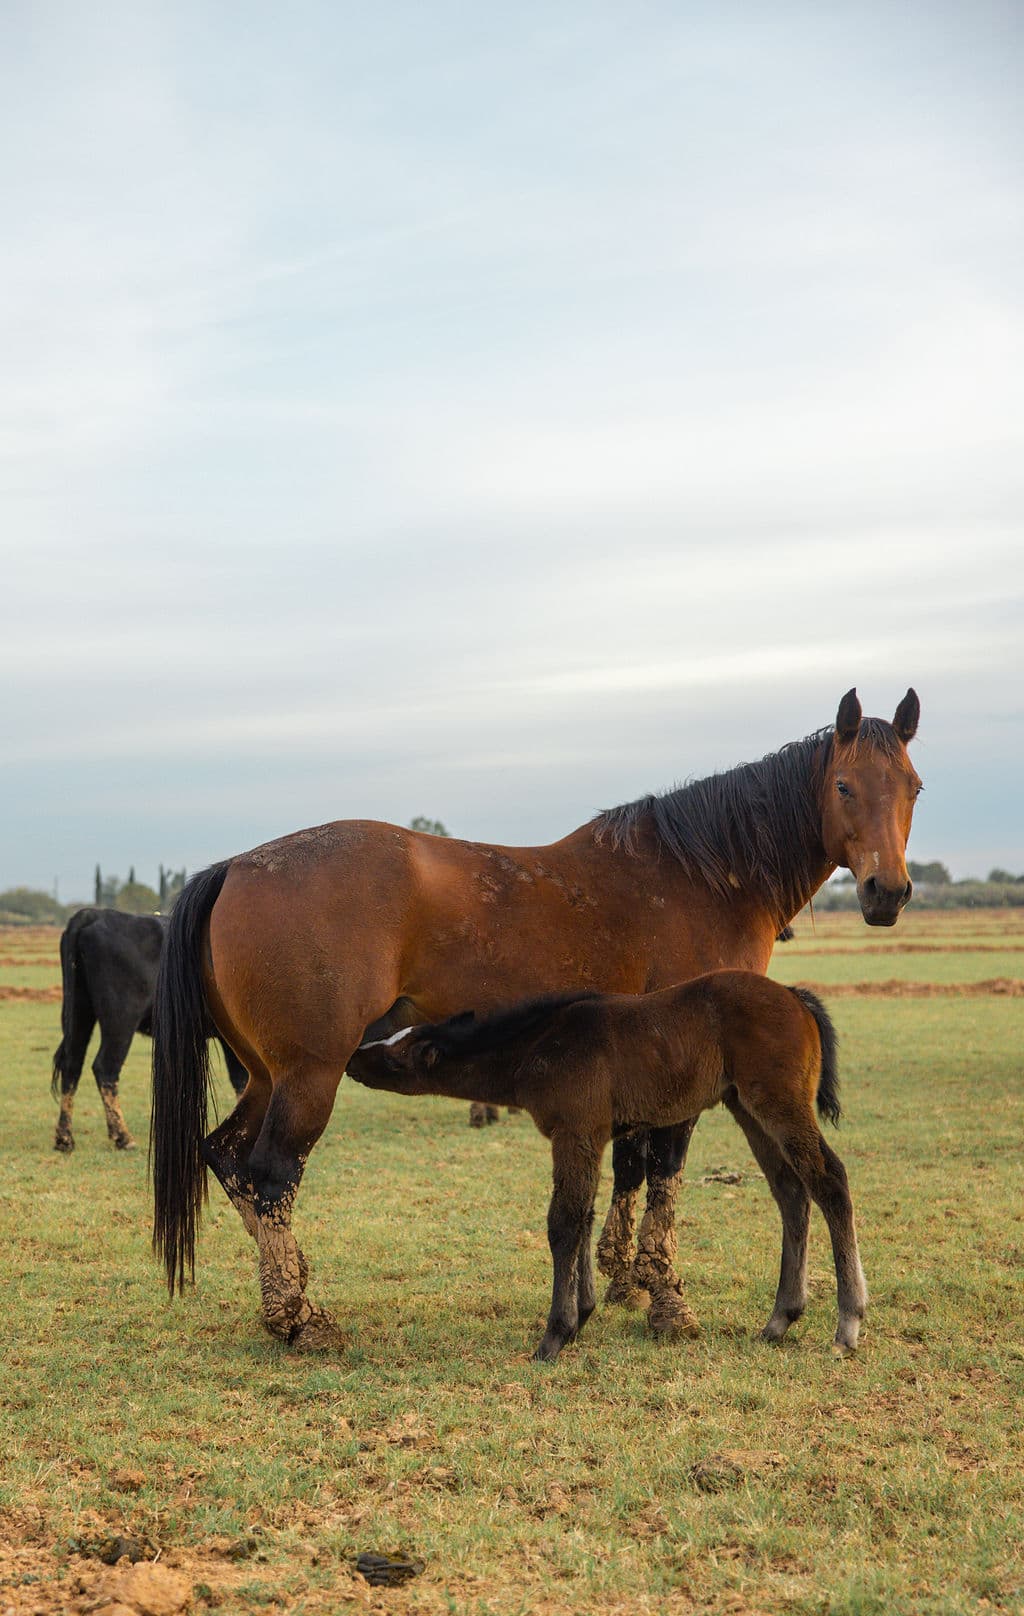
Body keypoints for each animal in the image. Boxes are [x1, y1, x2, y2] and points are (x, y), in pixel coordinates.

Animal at [348, 972, 859, 1362]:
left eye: (396, 1057)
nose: (353, 1057)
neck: (539, 1046)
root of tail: (794, 996)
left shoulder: (575, 1133)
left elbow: (563, 1222)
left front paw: (555, 1334)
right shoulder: (589, 1139)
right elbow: (583, 1217)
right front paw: (583, 1314)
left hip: (778, 1104)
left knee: (829, 1181)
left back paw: (847, 1325)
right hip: (747, 1109)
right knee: (791, 1192)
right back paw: (780, 1319)